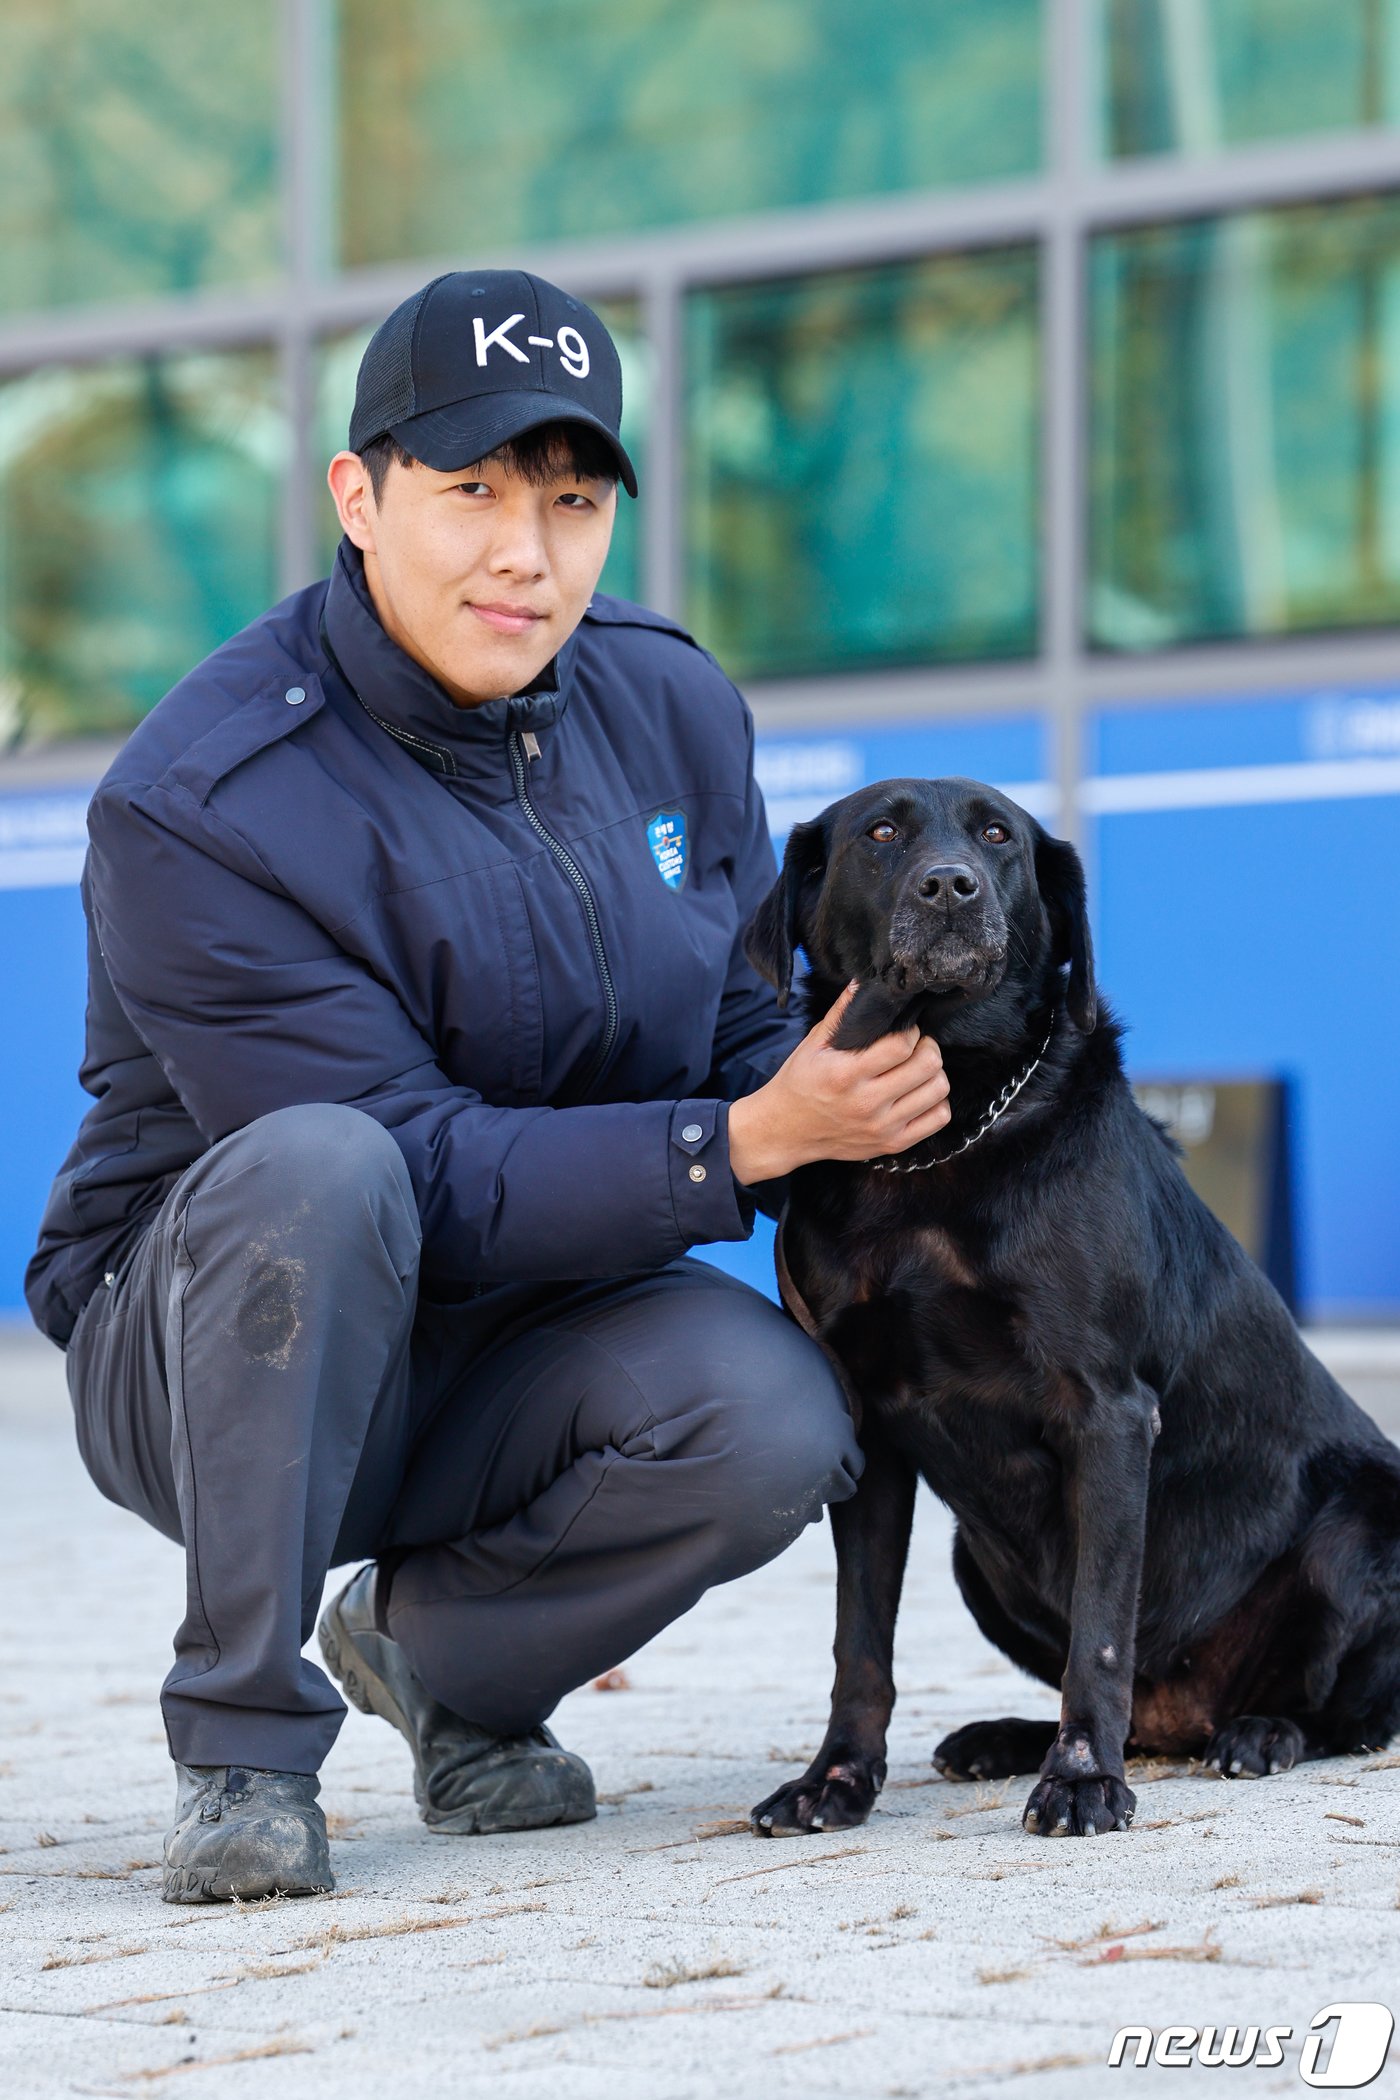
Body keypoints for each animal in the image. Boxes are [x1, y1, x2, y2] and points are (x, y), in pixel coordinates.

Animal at [743, 776, 1400, 1839]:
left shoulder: (1109, 1412)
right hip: (974, 1560)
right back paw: (1005, 1737)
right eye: (880, 833)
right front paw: (834, 1779)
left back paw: (1260, 1732)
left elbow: (1100, 1630)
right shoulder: (869, 1434)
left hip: (1364, 1525)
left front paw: (1084, 1780)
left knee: (1350, 1711)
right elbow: (859, 1642)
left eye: (997, 834)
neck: (945, 1136)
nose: (951, 887)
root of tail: (1181, 1715)